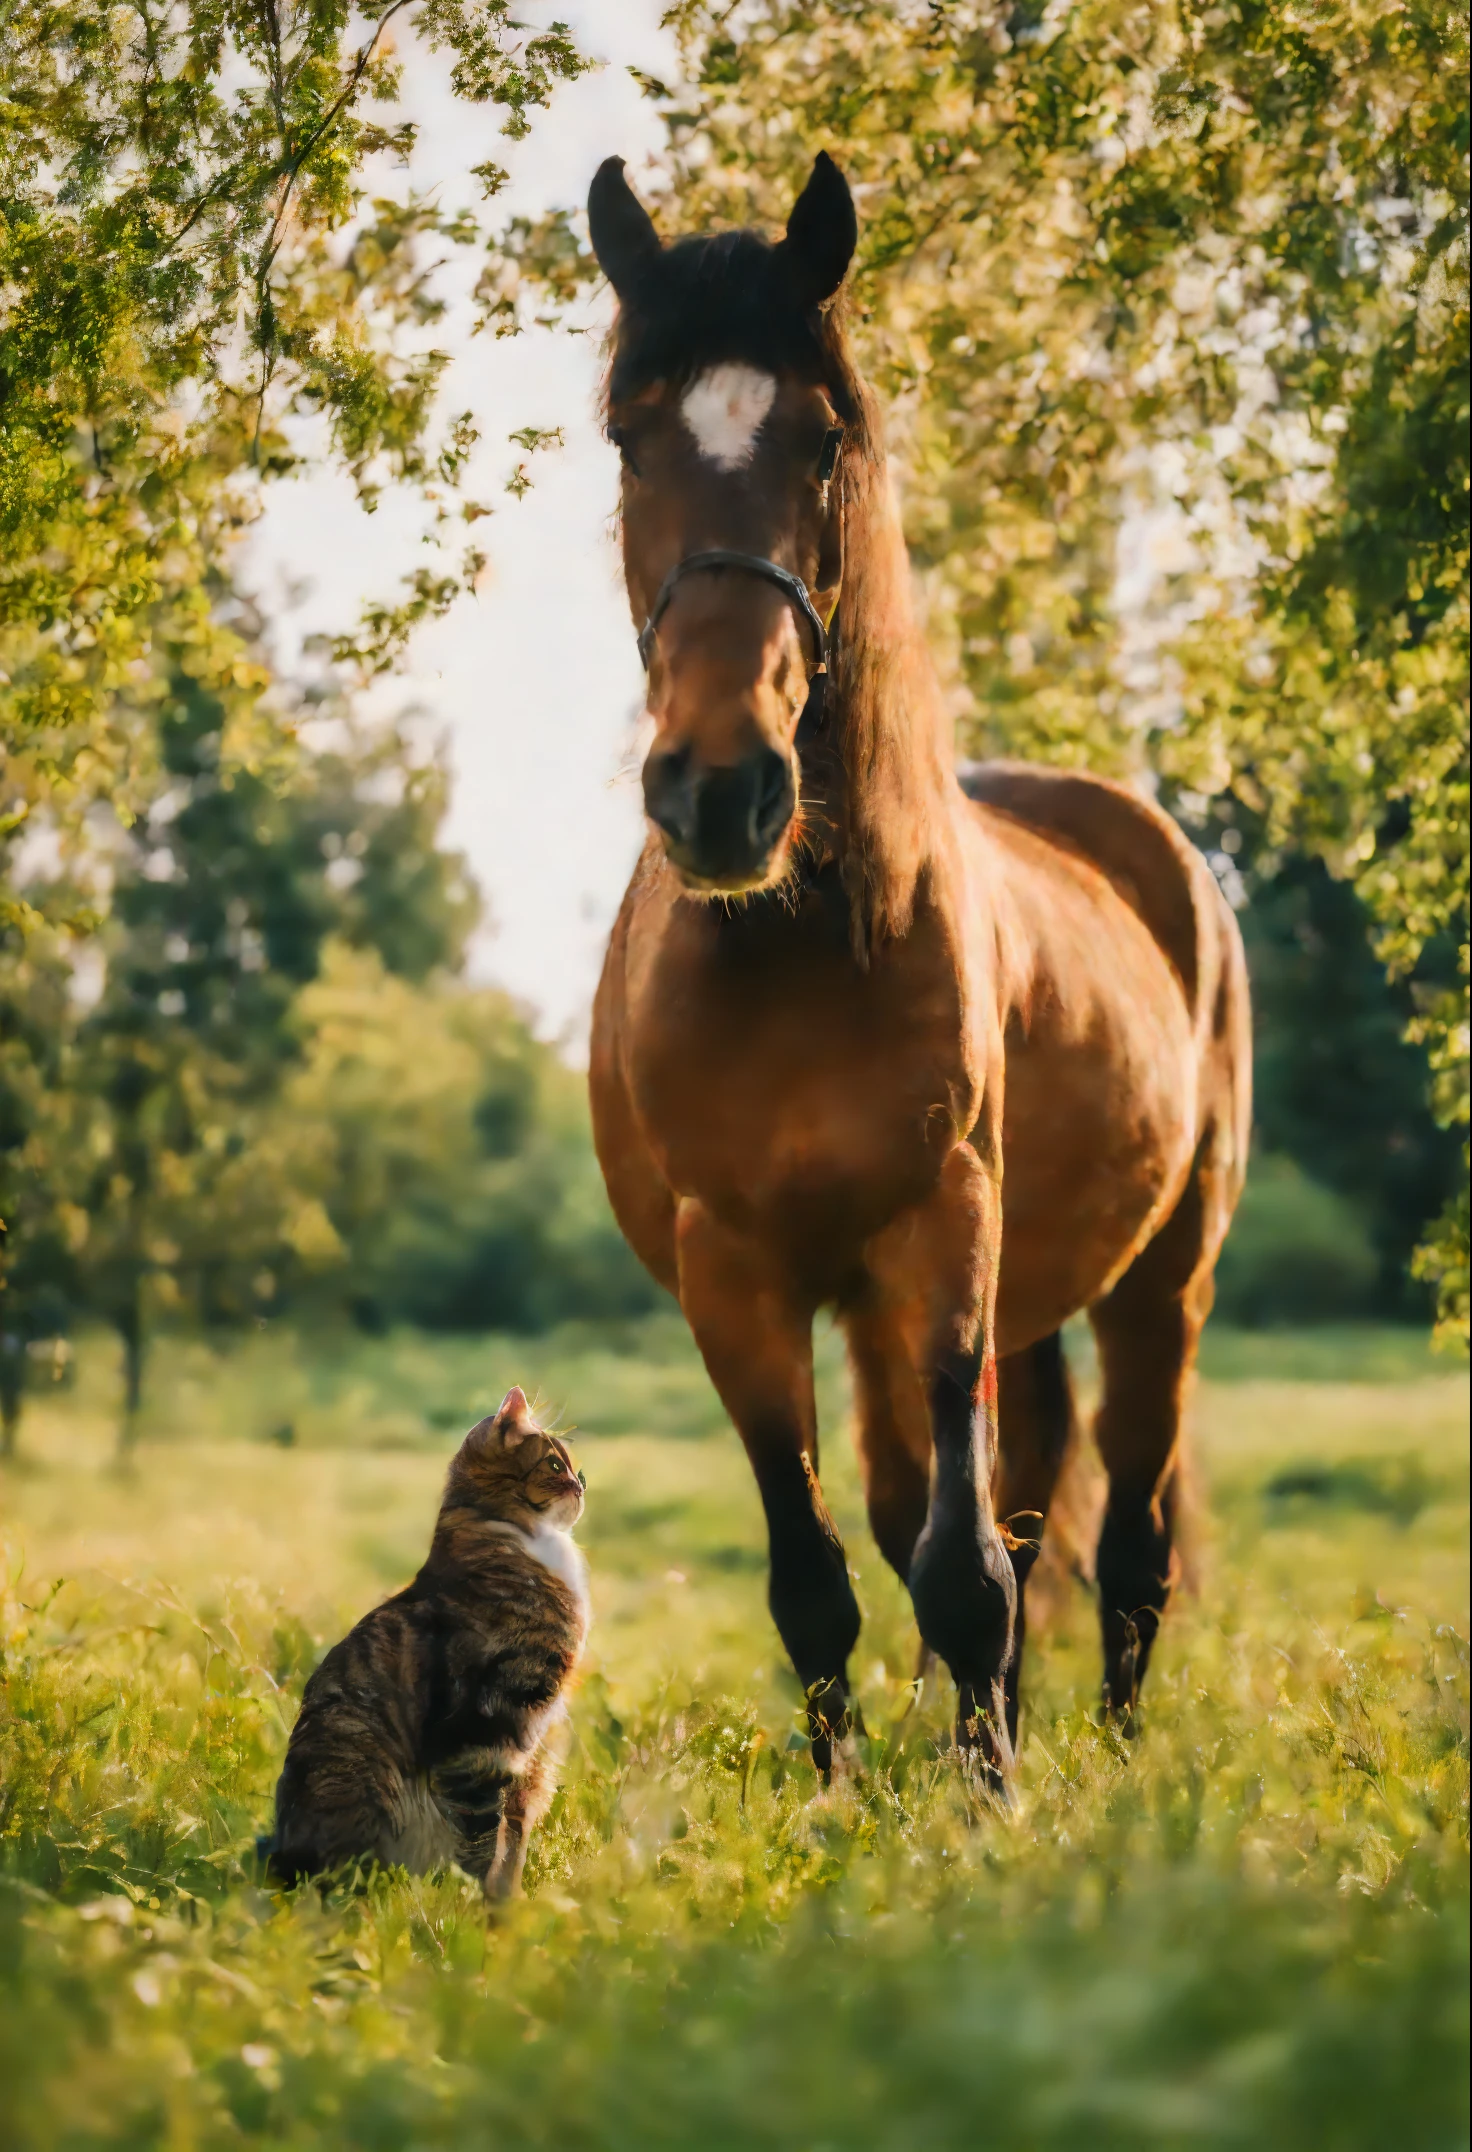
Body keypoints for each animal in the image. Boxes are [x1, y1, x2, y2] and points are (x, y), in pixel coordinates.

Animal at [258, 1385, 585, 1893]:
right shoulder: (480, 1741)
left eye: (573, 1467)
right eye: (555, 1465)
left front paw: (508, 1908)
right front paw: (475, 1904)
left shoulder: (531, 1765)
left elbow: (513, 1848)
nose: (583, 1484)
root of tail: (281, 1860)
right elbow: (484, 1847)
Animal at [581, 151, 1248, 1781]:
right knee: (983, 1508)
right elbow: (823, 1574)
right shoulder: (737, 1277)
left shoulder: (942, 1231)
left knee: (1125, 1539)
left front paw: (989, 1797)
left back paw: (1111, 1757)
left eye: (824, 441)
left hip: (1159, 1282)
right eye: (632, 440)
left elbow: (966, 1571)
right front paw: (842, 1800)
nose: (720, 792)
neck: (793, 952)